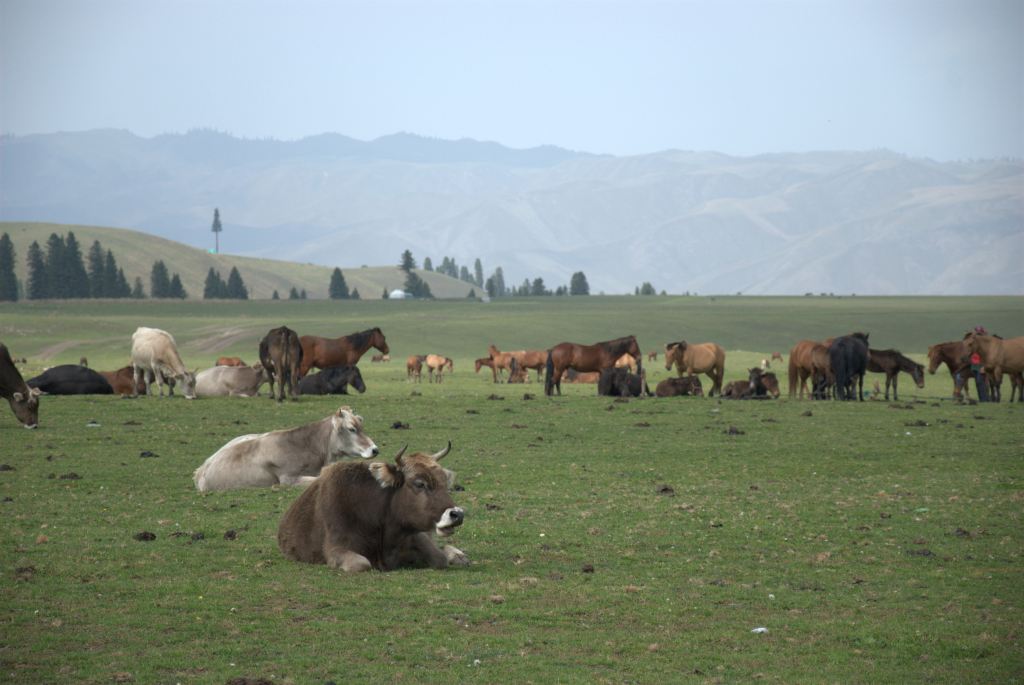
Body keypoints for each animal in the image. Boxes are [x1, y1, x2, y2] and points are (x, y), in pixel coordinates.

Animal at [280, 438, 471, 573]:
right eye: (419, 483)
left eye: (444, 482)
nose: (457, 514)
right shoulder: (336, 549)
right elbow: (362, 564)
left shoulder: (416, 536)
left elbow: (439, 558)